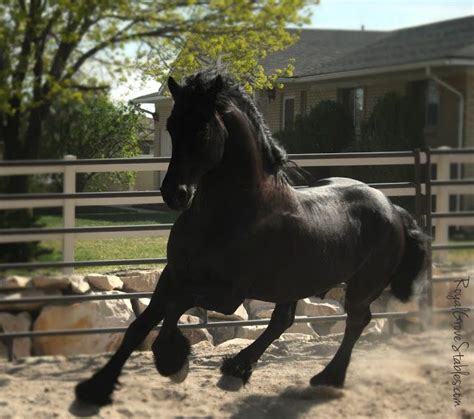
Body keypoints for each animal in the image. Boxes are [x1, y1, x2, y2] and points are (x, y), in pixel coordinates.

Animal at [76, 71, 428, 406]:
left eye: (202, 130)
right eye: (173, 127)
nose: (175, 194)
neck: (232, 214)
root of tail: (395, 210)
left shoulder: (226, 294)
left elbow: (176, 308)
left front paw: (172, 361)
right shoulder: (173, 274)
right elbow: (139, 325)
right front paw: (95, 388)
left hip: (362, 285)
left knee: (357, 320)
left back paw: (328, 377)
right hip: (295, 282)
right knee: (284, 320)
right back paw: (238, 368)